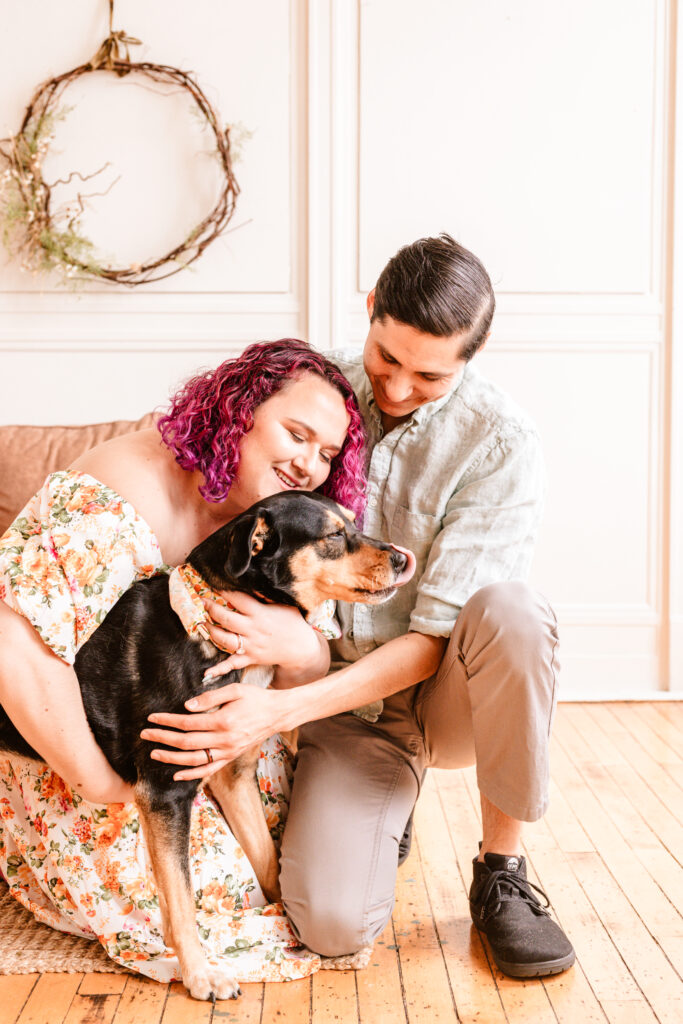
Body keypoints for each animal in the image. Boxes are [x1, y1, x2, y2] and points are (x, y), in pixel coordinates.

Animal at [0, 487, 417, 999]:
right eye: (334, 536)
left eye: (353, 523)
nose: (402, 558)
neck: (214, 616)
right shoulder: (165, 792)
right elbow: (181, 899)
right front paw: (200, 974)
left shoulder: (233, 774)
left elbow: (269, 861)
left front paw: (287, 919)